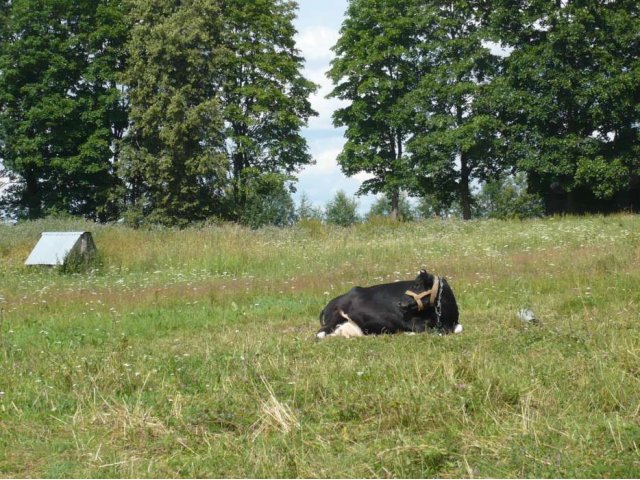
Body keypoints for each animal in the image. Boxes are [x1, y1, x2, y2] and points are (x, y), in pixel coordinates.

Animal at [318, 268, 462, 340]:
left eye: (416, 285)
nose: (400, 303)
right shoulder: (413, 323)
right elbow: (428, 331)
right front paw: (407, 334)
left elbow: (459, 328)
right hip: (335, 318)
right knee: (320, 334)